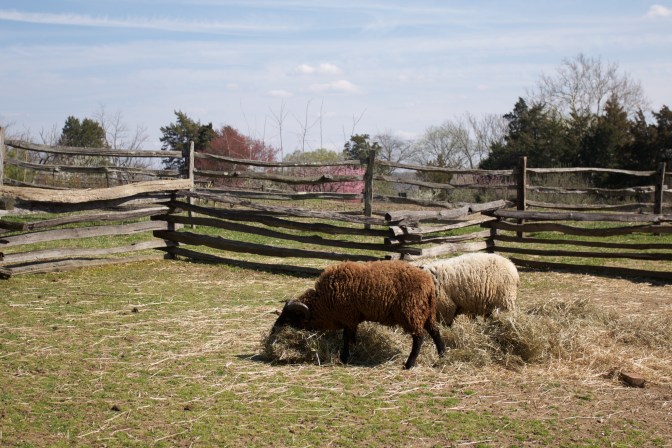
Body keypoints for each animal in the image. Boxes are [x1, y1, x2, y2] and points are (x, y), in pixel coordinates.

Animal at [271, 260, 445, 369]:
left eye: (289, 317)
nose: (274, 330)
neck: (323, 300)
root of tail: (429, 285)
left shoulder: (348, 316)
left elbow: (346, 336)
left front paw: (344, 357)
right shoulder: (353, 317)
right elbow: (353, 335)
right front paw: (355, 349)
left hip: (411, 312)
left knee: (419, 338)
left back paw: (409, 364)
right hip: (426, 313)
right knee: (435, 332)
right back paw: (442, 355)